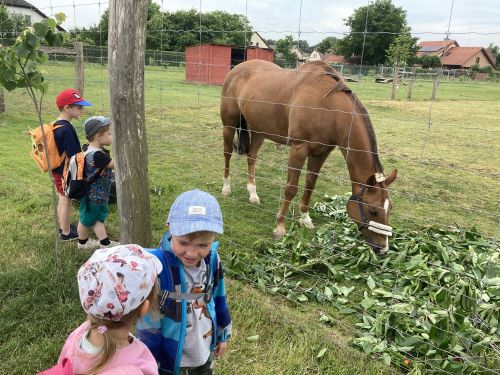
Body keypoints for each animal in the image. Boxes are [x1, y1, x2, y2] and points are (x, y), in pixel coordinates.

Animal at [221, 60, 396, 254]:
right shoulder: (299, 149)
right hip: (229, 126)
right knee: (227, 154)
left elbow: (310, 184)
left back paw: (253, 193)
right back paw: (226, 188)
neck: (328, 107)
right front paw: (280, 226)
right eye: (373, 210)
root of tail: (237, 69)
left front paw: (305, 218)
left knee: (251, 157)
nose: (383, 248)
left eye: (389, 210)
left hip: (259, 130)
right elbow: (291, 188)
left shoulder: (321, 153)